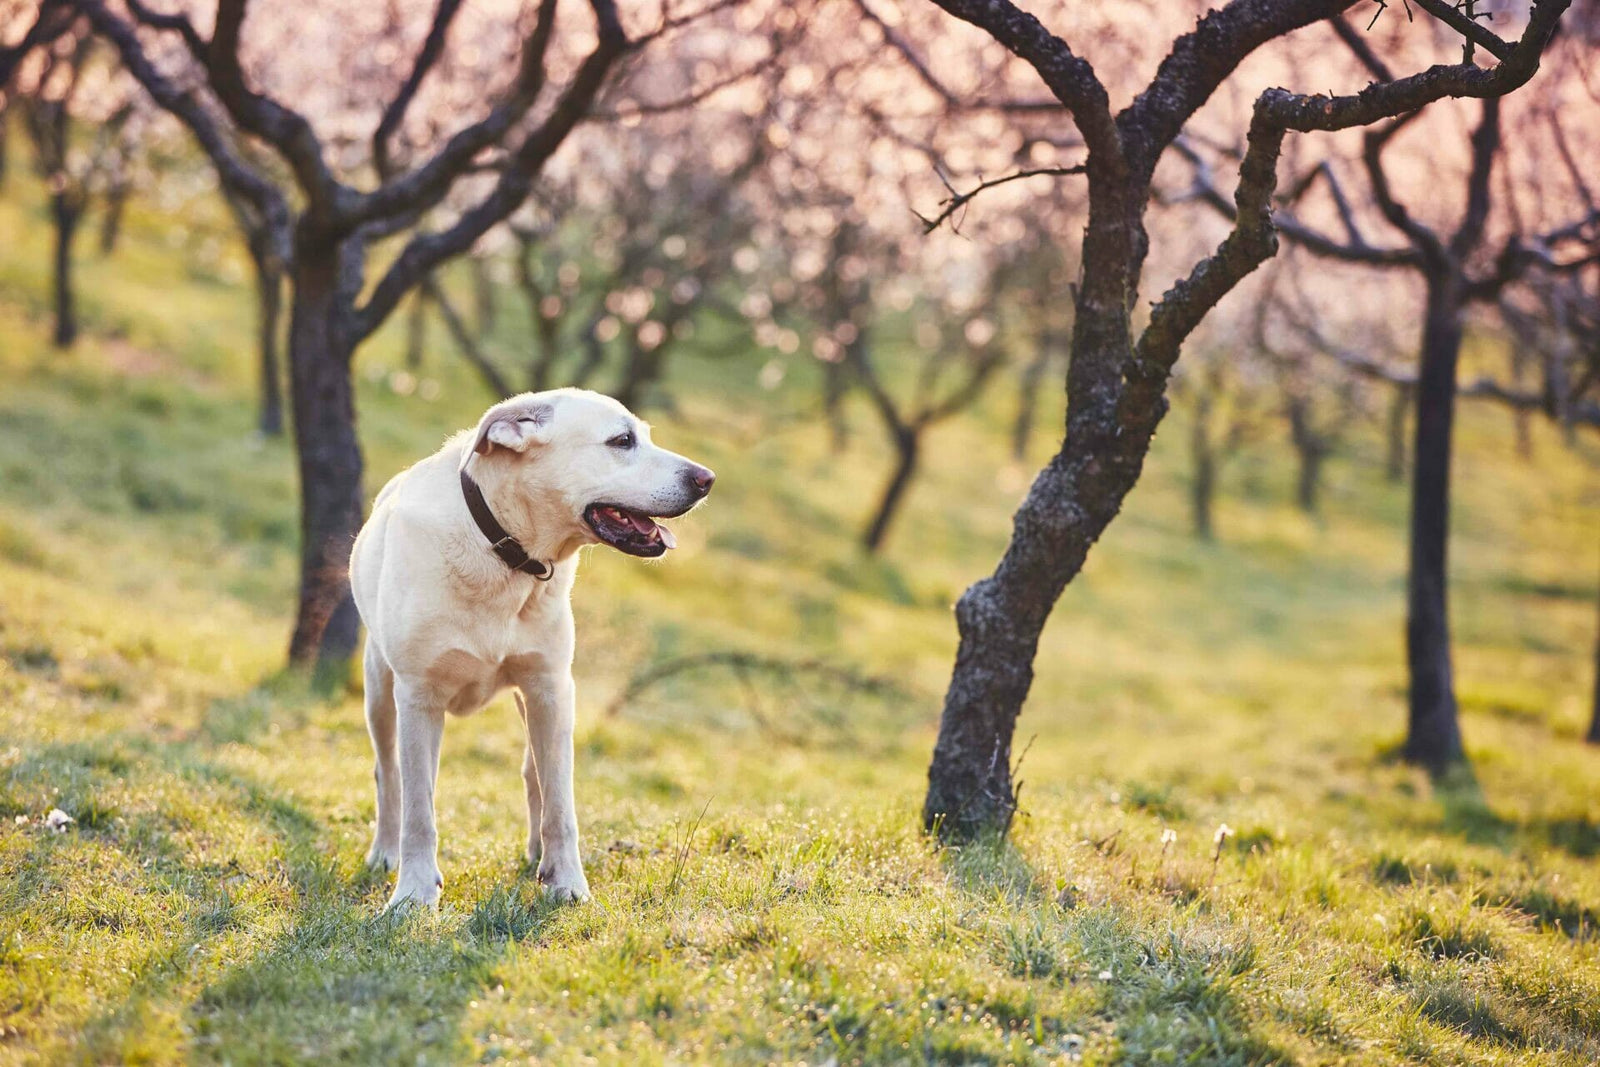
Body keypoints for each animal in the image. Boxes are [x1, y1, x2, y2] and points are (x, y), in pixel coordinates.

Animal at [356, 390, 720, 908]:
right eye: (622, 441)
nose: (707, 479)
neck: (502, 553)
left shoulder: (550, 689)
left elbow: (560, 804)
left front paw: (566, 882)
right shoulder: (418, 698)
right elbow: (418, 809)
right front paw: (414, 894)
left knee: (534, 775)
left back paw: (536, 856)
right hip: (380, 692)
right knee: (390, 775)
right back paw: (385, 853)